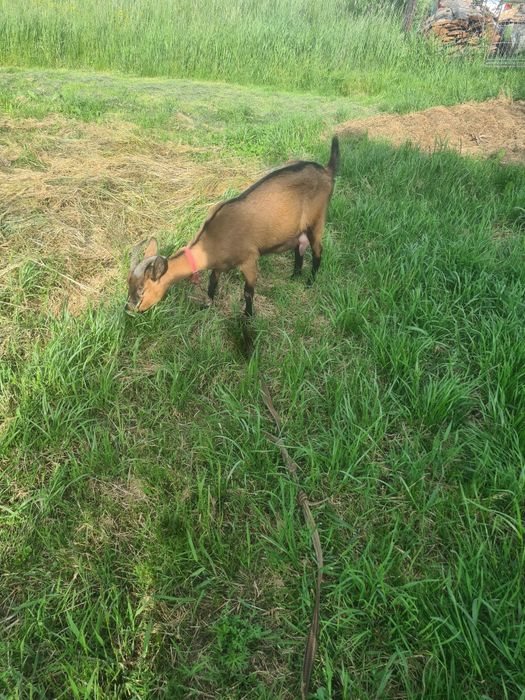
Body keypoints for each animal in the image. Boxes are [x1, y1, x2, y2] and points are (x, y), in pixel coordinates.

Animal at [126, 136, 339, 316]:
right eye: (128, 284)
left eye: (142, 289)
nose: (128, 309)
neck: (212, 239)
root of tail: (326, 171)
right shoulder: (219, 265)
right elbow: (212, 283)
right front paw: (206, 306)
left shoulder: (250, 260)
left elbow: (248, 292)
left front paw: (248, 317)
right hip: (297, 230)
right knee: (299, 246)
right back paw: (294, 277)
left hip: (317, 221)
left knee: (318, 250)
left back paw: (309, 283)